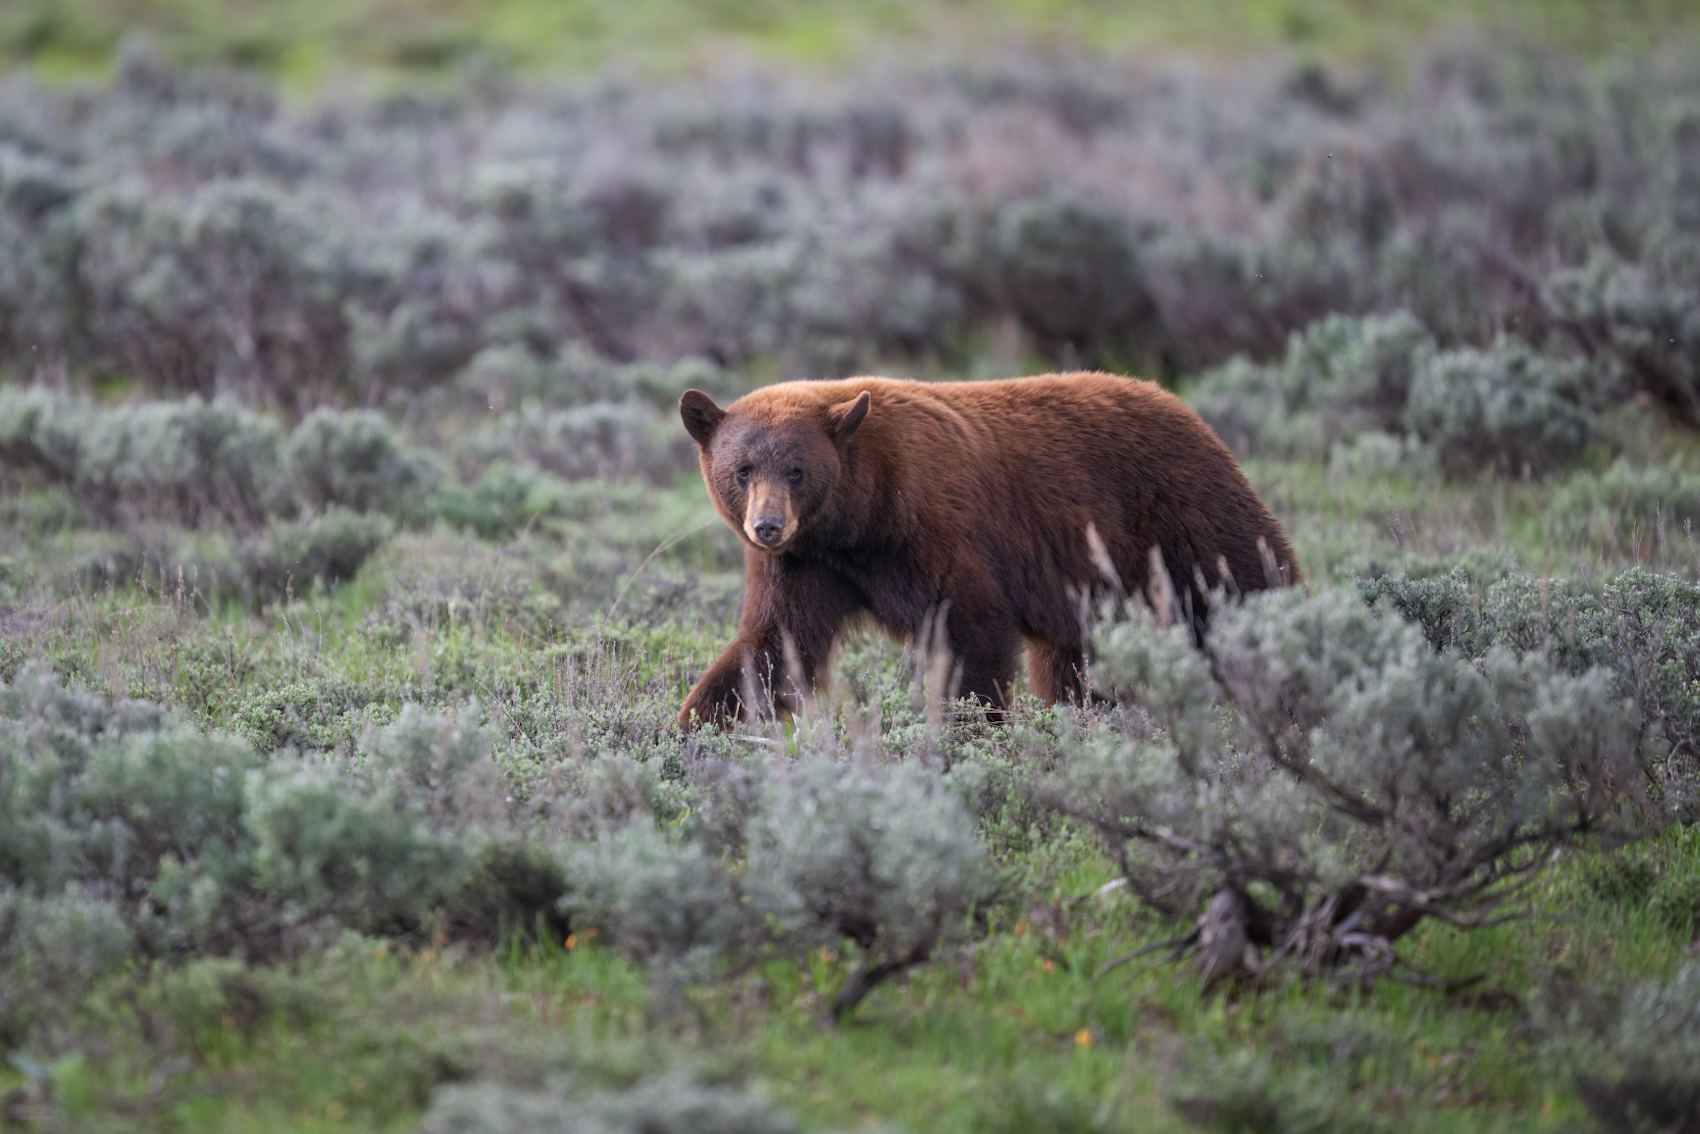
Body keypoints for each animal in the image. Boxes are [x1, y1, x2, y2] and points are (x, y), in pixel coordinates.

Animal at [676, 368, 1298, 731]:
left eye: (797, 470)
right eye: (743, 469)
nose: (767, 526)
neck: (861, 519)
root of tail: (1189, 411)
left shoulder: (937, 530)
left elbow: (971, 634)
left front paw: (967, 731)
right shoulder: (808, 564)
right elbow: (774, 644)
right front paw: (695, 724)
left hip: (1183, 516)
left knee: (1247, 583)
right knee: (1074, 665)